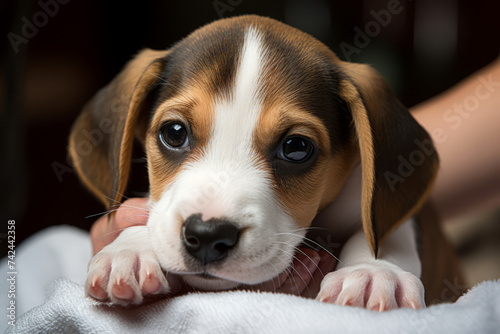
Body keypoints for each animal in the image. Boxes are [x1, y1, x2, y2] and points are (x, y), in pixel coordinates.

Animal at [69, 14, 438, 310]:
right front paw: (130, 249)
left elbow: (384, 230)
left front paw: (374, 272)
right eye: (174, 132)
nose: (207, 235)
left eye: (296, 147)